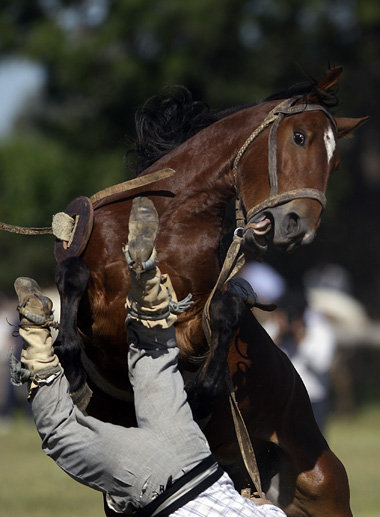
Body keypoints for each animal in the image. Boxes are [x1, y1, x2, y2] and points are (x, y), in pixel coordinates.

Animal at [53, 68, 366, 516]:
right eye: (299, 137)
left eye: (335, 162)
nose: (298, 226)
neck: (168, 221)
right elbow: (72, 275)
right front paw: (73, 371)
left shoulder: (187, 324)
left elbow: (225, 309)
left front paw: (199, 395)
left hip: (324, 486)